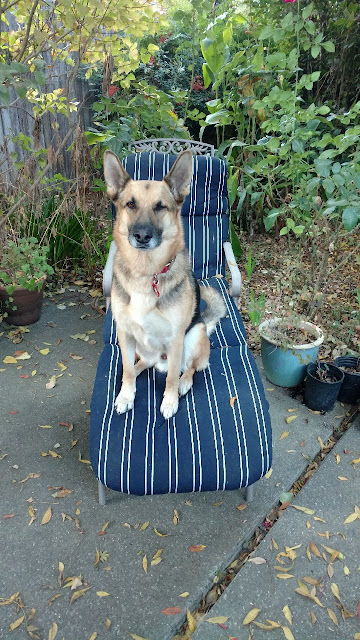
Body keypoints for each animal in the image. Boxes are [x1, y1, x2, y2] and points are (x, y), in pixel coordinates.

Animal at [102, 150, 225, 420]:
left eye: (160, 207)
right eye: (131, 204)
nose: (142, 236)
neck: (146, 272)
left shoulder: (176, 338)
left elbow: (170, 378)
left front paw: (169, 402)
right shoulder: (125, 333)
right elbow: (128, 369)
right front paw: (126, 395)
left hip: (194, 335)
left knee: (189, 368)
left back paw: (184, 383)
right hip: (141, 348)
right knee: (139, 365)